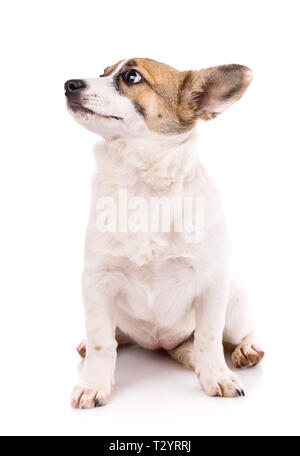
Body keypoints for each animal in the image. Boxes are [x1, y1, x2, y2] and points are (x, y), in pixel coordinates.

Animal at [64, 57, 264, 410]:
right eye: (103, 73)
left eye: (132, 77)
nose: (69, 84)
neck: (143, 184)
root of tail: (162, 345)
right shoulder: (97, 283)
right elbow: (103, 342)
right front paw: (93, 382)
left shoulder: (212, 286)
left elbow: (209, 338)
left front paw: (217, 376)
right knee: (124, 338)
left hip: (235, 301)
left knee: (233, 335)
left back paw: (246, 350)